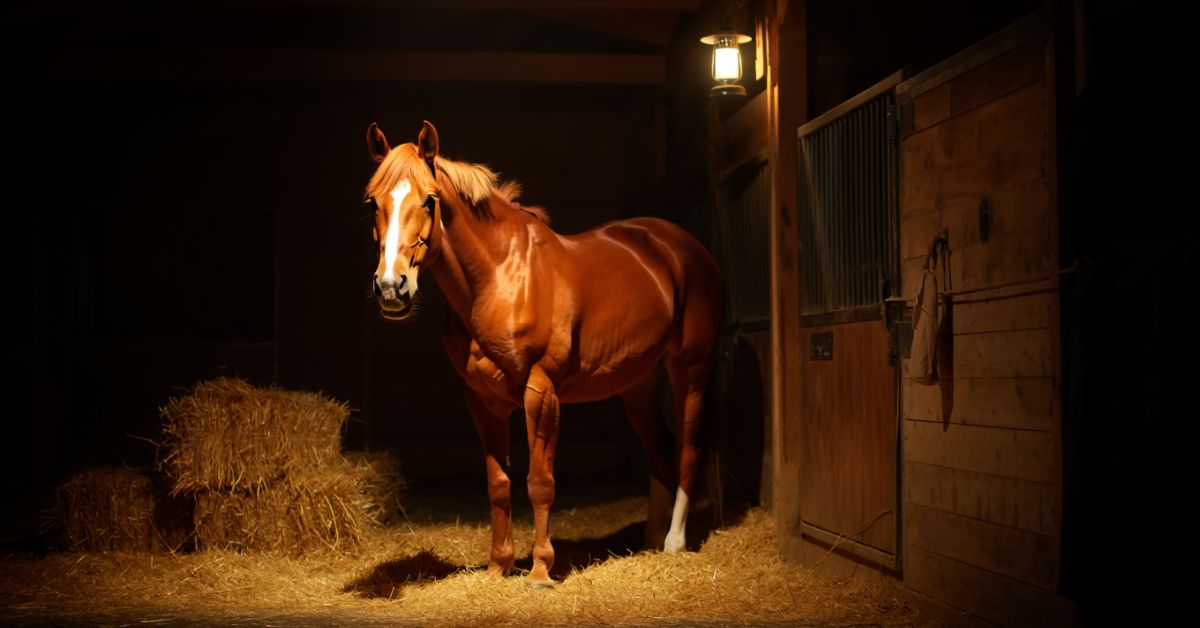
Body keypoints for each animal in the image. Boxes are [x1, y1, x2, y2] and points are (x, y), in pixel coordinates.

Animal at [362, 121, 724, 588]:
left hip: (689, 370)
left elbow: (539, 482)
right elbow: (498, 483)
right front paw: (498, 566)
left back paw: (674, 542)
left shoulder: (541, 392)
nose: (392, 287)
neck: (500, 278)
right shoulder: (482, 401)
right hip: (638, 385)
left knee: (686, 450)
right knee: (661, 452)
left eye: (429, 199)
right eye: (373, 202)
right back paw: (649, 540)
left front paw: (539, 570)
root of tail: (683, 247)